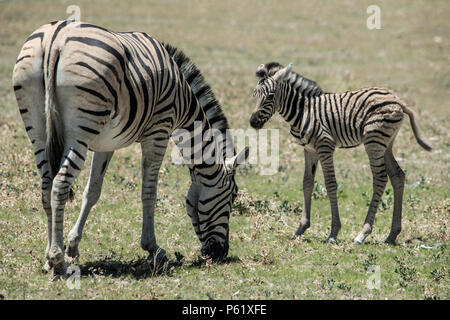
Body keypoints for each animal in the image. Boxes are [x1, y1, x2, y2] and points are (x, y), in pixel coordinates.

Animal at [251, 63, 430, 244]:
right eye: (254, 95)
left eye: (270, 96)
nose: (253, 122)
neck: (302, 111)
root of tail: (397, 99)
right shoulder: (309, 150)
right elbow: (307, 183)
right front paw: (301, 229)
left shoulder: (325, 146)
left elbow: (330, 184)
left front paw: (333, 233)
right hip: (386, 144)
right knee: (398, 176)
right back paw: (392, 234)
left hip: (374, 141)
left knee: (380, 179)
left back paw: (362, 233)